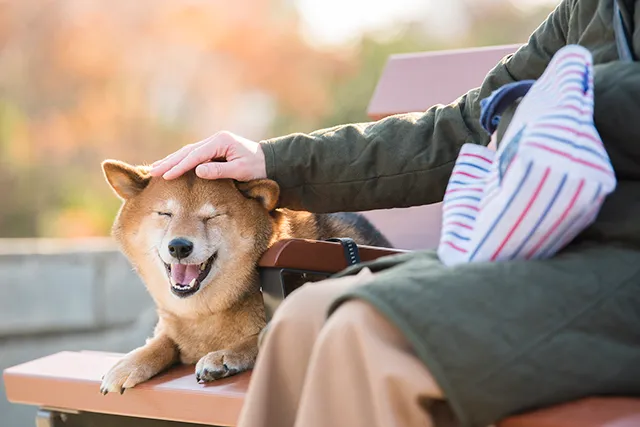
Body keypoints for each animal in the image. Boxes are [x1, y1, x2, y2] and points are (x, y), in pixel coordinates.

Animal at [98, 160, 392, 394]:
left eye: (212, 217)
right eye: (165, 214)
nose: (179, 246)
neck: (206, 315)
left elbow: (260, 336)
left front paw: (224, 355)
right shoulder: (175, 327)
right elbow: (162, 341)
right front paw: (128, 364)